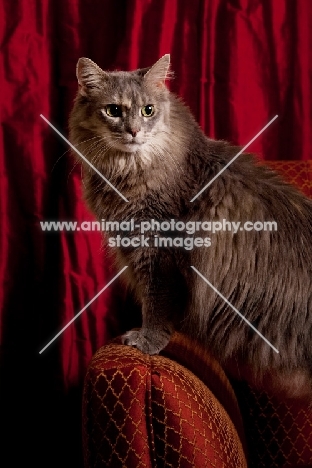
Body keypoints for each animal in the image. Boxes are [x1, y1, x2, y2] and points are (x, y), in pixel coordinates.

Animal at [69, 54, 312, 398]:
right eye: (113, 110)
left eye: (148, 110)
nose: (133, 131)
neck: (130, 171)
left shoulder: (158, 254)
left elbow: (156, 305)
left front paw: (146, 342)